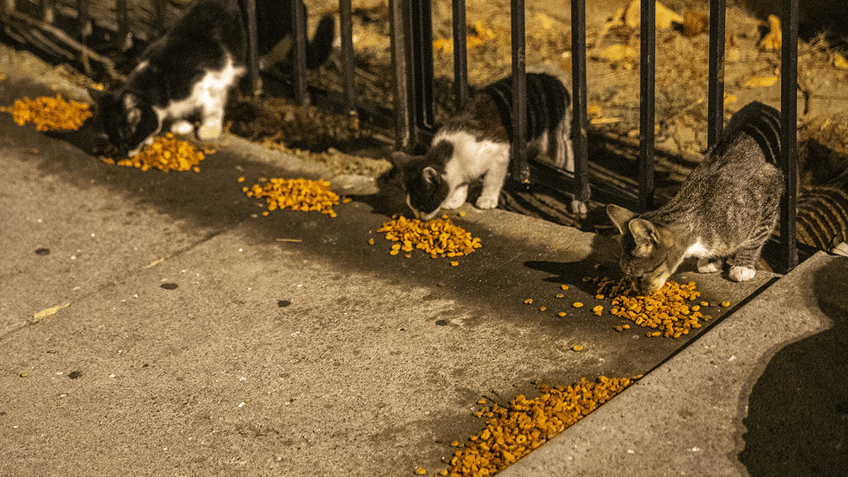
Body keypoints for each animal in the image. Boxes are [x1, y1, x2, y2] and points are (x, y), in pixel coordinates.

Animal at [90, 0, 334, 155]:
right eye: (112, 138)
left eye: (124, 136)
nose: (123, 153)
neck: (160, 78)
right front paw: (180, 124)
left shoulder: (215, 80)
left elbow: (212, 109)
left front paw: (208, 130)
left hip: (272, 31)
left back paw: (261, 62)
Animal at [390, 71, 572, 220]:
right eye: (411, 206)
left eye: (422, 205)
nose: (418, 217)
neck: (453, 151)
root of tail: (552, 79)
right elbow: (461, 184)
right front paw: (456, 198)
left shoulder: (499, 153)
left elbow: (493, 179)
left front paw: (487, 199)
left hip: (555, 139)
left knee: (567, 161)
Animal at [608, 101, 784, 294]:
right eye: (628, 277)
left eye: (639, 276)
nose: (638, 292)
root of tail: (759, 105)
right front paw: (713, 259)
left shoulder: (769, 188)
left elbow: (756, 236)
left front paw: (743, 265)